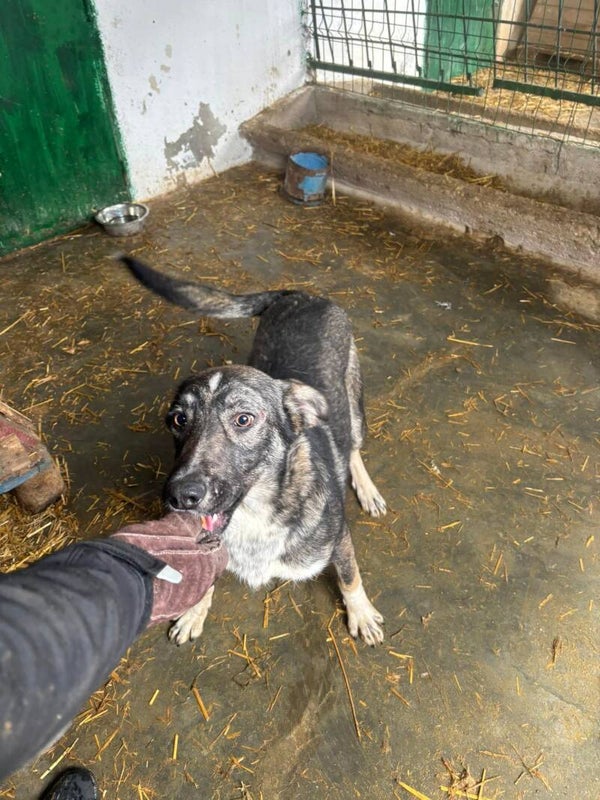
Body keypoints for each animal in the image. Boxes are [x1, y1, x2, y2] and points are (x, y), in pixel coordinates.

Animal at [120, 256, 386, 645]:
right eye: (178, 420)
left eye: (243, 419)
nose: (180, 496)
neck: (255, 514)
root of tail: (301, 294)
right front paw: (195, 611)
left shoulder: (339, 539)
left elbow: (350, 575)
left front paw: (361, 613)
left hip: (354, 399)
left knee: (351, 445)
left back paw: (366, 489)